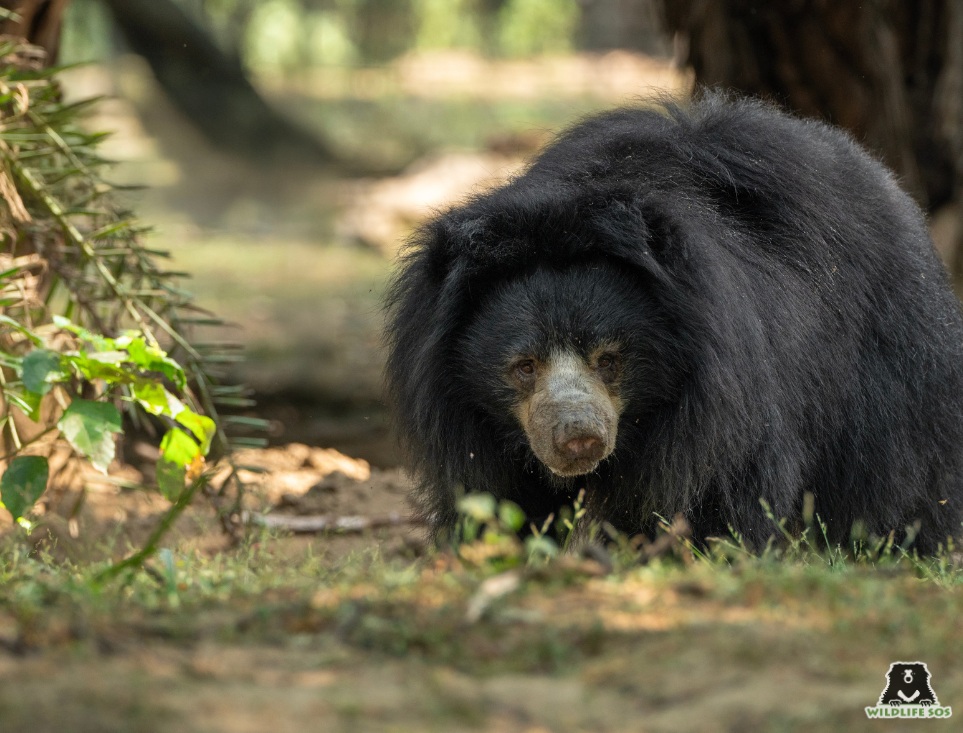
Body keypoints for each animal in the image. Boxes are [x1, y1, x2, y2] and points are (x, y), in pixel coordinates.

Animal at [384, 94, 963, 552]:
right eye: (524, 366)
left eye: (610, 359)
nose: (579, 439)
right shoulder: (465, 414)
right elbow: (497, 492)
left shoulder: (722, 397)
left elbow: (723, 485)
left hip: (891, 354)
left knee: (896, 468)